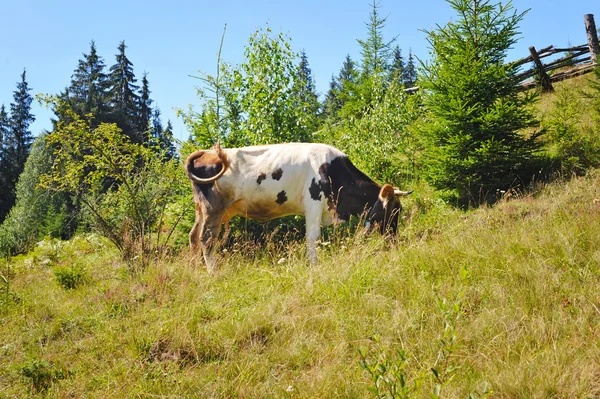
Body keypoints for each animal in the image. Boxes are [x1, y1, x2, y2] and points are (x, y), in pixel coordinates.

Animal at [186, 141, 412, 272]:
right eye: (395, 210)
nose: (395, 239)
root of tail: (208, 153)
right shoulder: (313, 203)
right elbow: (313, 237)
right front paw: (314, 266)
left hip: (201, 210)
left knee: (194, 237)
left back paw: (194, 271)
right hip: (213, 209)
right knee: (206, 239)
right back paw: (214, 273)